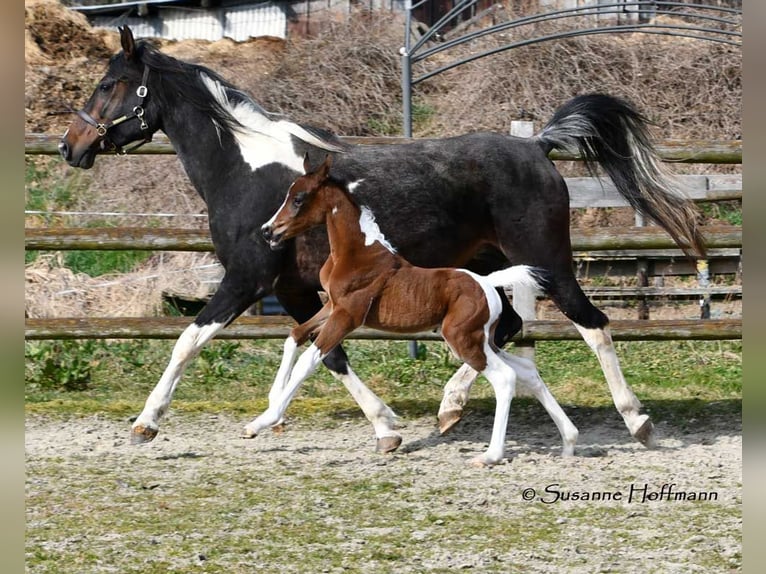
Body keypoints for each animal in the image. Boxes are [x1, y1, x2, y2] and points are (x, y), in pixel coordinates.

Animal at [250, 154, 579, 465]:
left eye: (299, 198)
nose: (268, 231)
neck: (357, 253)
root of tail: (487, 282)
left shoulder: (348, 315)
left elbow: (309, 360)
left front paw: (263, 421)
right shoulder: (331, 305)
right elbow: (294, 335)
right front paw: (271, 410)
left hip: (462, 339)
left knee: (505, 377)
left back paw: (490, 455)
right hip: (482, 339)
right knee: (526, 371)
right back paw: (569, 441)